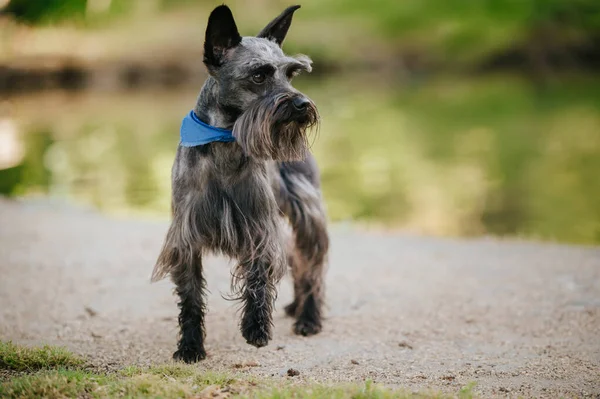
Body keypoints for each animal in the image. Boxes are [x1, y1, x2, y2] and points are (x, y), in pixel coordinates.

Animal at [150, 4, 328, 364]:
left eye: (291, 74)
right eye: (259, 75)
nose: (302, 105)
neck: (225, 141)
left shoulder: (259, 225)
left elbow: (259, 276)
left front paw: (256, 329)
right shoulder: (186, 235)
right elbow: (190, 296)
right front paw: (190, 346)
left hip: (308, 213)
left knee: (311, 266)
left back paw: (308, 316)